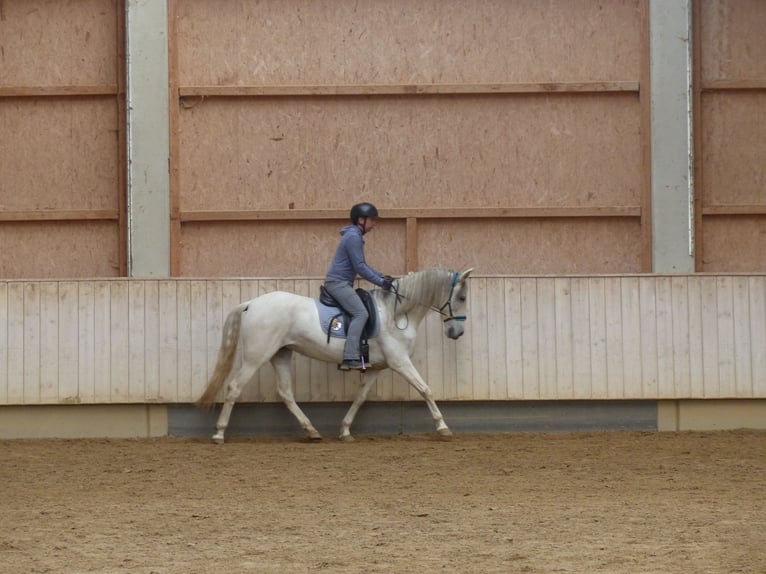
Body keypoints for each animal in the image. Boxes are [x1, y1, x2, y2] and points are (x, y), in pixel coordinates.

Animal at [196, 268, 474, 443]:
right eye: (461, 297)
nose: (457, 332)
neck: (394, 313)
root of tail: (250, 304)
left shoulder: (376, 367)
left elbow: (360, 398)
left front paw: (345, 430)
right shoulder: (400, 362)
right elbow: (425, 389)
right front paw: (443, 427)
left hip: (281, 354)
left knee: (285, 393)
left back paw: (311, 431)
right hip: (257, 356)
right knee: (234, 387)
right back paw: (219, 434)